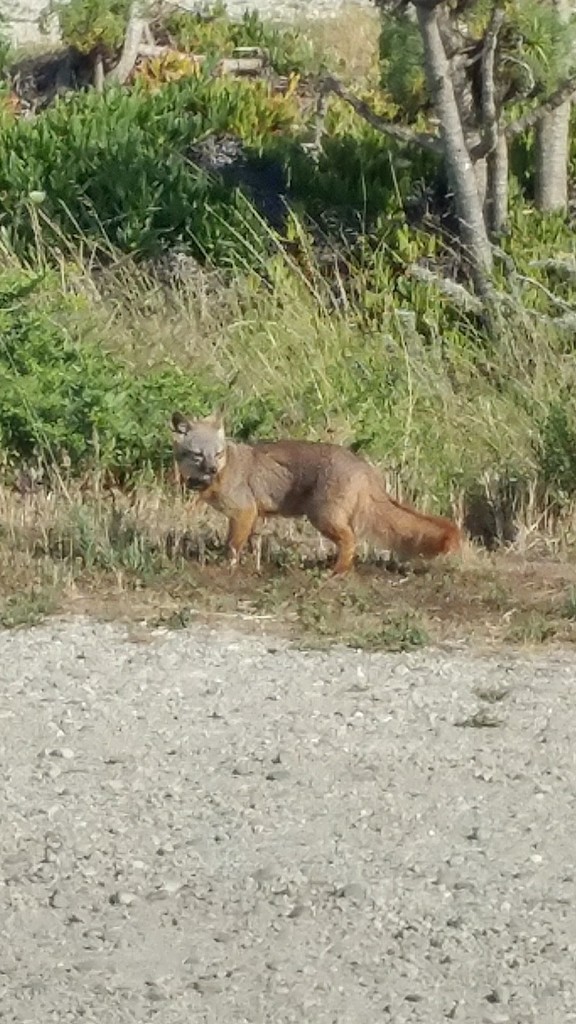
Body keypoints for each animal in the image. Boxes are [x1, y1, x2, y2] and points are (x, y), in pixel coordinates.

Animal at [171, 410, 462, 573]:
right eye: (198, 455)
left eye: (218, 454)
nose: (210, 469)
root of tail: (362, 465)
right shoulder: (254, 515)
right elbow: (251, 543)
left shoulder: (244, 511)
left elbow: (232, 545)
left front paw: (226, 566)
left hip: (323, 517)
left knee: (351, 541)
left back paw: (337, 573)